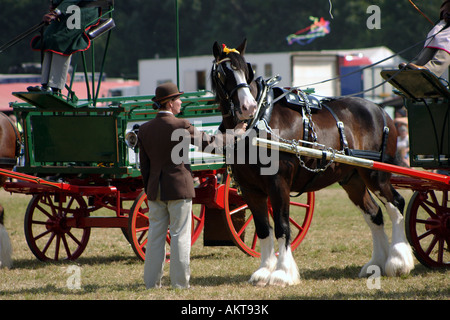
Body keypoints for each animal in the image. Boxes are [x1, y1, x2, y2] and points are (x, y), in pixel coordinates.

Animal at [212, 38, 414, 286]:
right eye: (222, 72)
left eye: (245, 69)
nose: (248, 106)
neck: (260, 121)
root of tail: (382, 111)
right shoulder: (250, 189)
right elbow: (263, 229)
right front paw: (264, 271)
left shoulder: (278, 183)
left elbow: (281, 226)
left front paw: (282, 273)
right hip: (353, 179)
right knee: (374, 213)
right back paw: (376, 263)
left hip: (376, 175)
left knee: (396, 204)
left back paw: (398, 262)